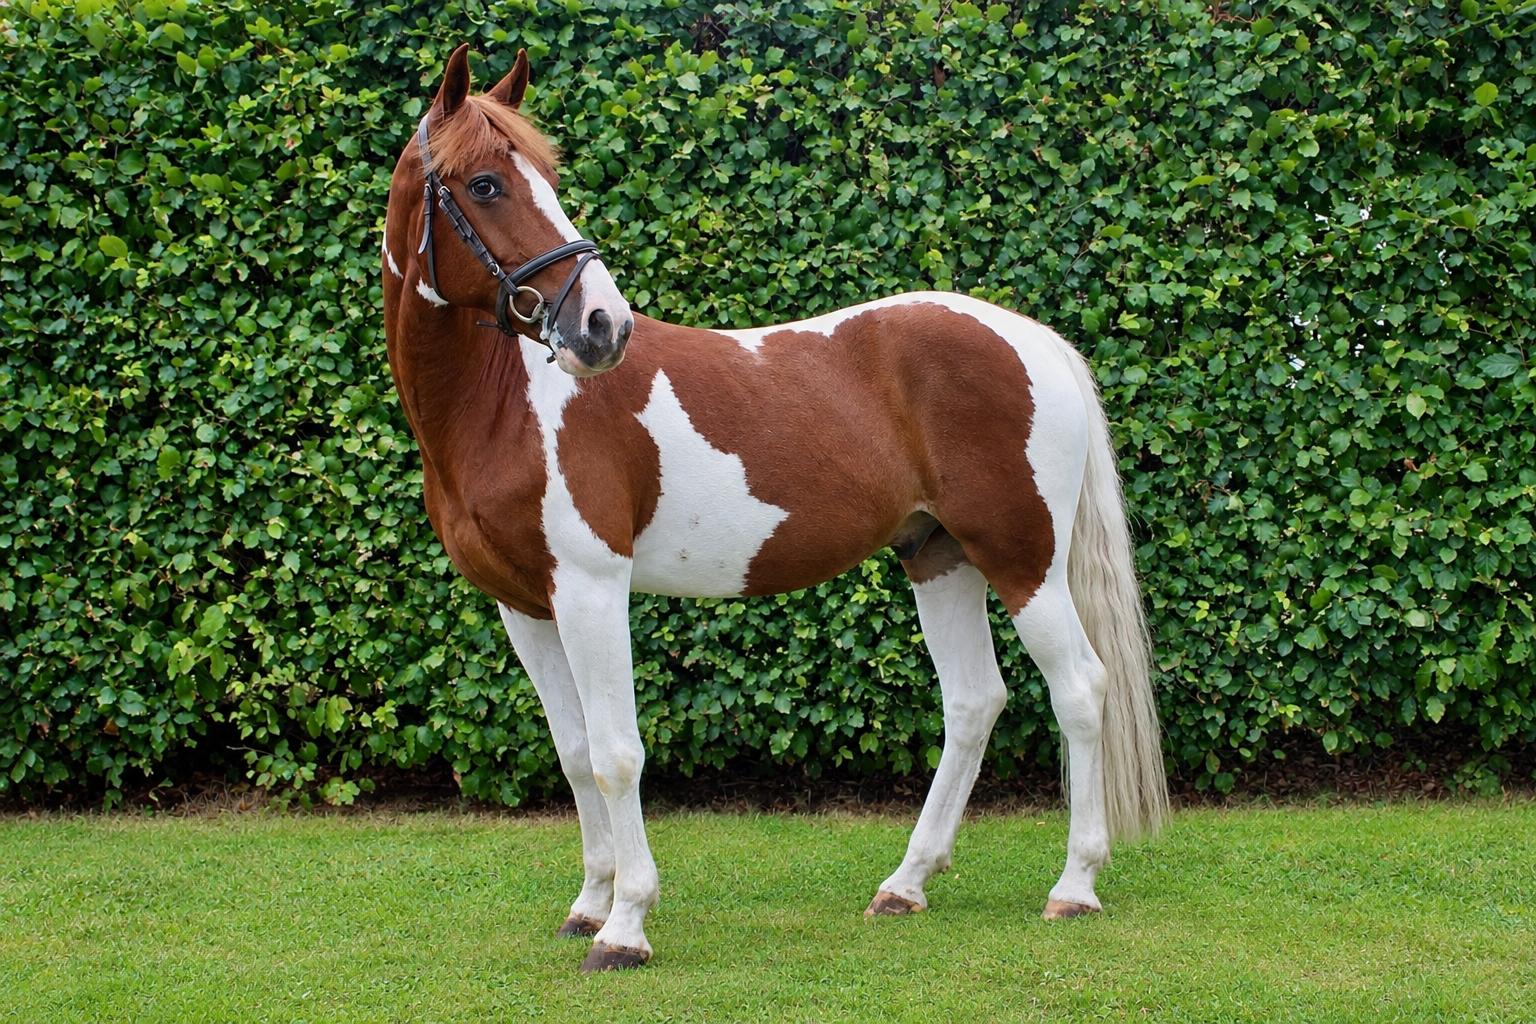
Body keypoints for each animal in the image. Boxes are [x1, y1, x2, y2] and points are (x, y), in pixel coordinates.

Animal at [380, 45, 1168, 973]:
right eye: (487, 184)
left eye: (546, 175)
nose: (603, 326)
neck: (509, 403)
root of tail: (1035, 340)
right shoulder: (524, 606)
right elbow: (574, 755)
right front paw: (588, 904)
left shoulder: (590, 589)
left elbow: (616, 755)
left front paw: (625, 926)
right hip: (938, 556)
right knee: (974, 702)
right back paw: (905, 885)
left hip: (1023, 560)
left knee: (1079, 688)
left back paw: (1073, 886)